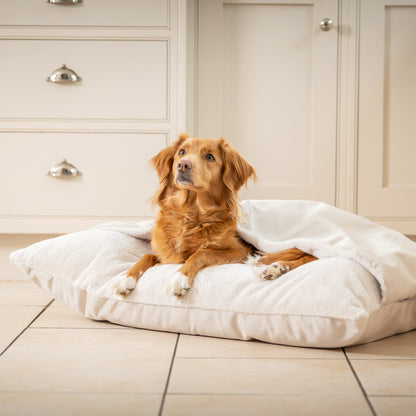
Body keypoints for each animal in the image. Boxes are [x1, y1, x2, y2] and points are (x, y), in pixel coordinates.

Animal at [114, 135, 316, 298]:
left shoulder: (239, 252)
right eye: (181, 152)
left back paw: (275, 268)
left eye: (210, 157)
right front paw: (125, 278)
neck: (191, 215)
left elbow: (202, 252)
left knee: (310, 257)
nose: (183, 164)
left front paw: (179, 277)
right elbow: (147, 256)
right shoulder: (167, 256)